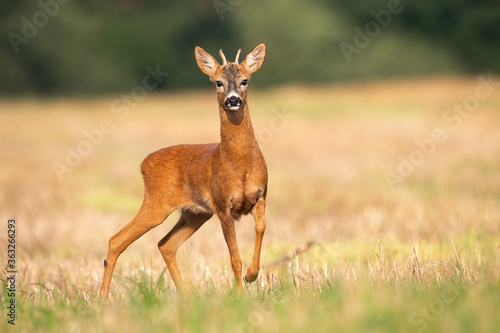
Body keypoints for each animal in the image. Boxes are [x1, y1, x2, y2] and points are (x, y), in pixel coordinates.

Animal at [99, 44, 268, 298]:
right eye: (218, 82)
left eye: (245, 80)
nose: (233, 100)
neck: (242, 166)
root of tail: (143, 164)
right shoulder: (222, 205)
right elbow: (234, 257)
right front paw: (239, 293)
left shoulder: (260, 196)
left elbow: (260, 227)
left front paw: (252, 275)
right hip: (157, 203)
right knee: (116, 240)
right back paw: (101, 297)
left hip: (195, 212)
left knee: (165, 244)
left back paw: (187, 295)